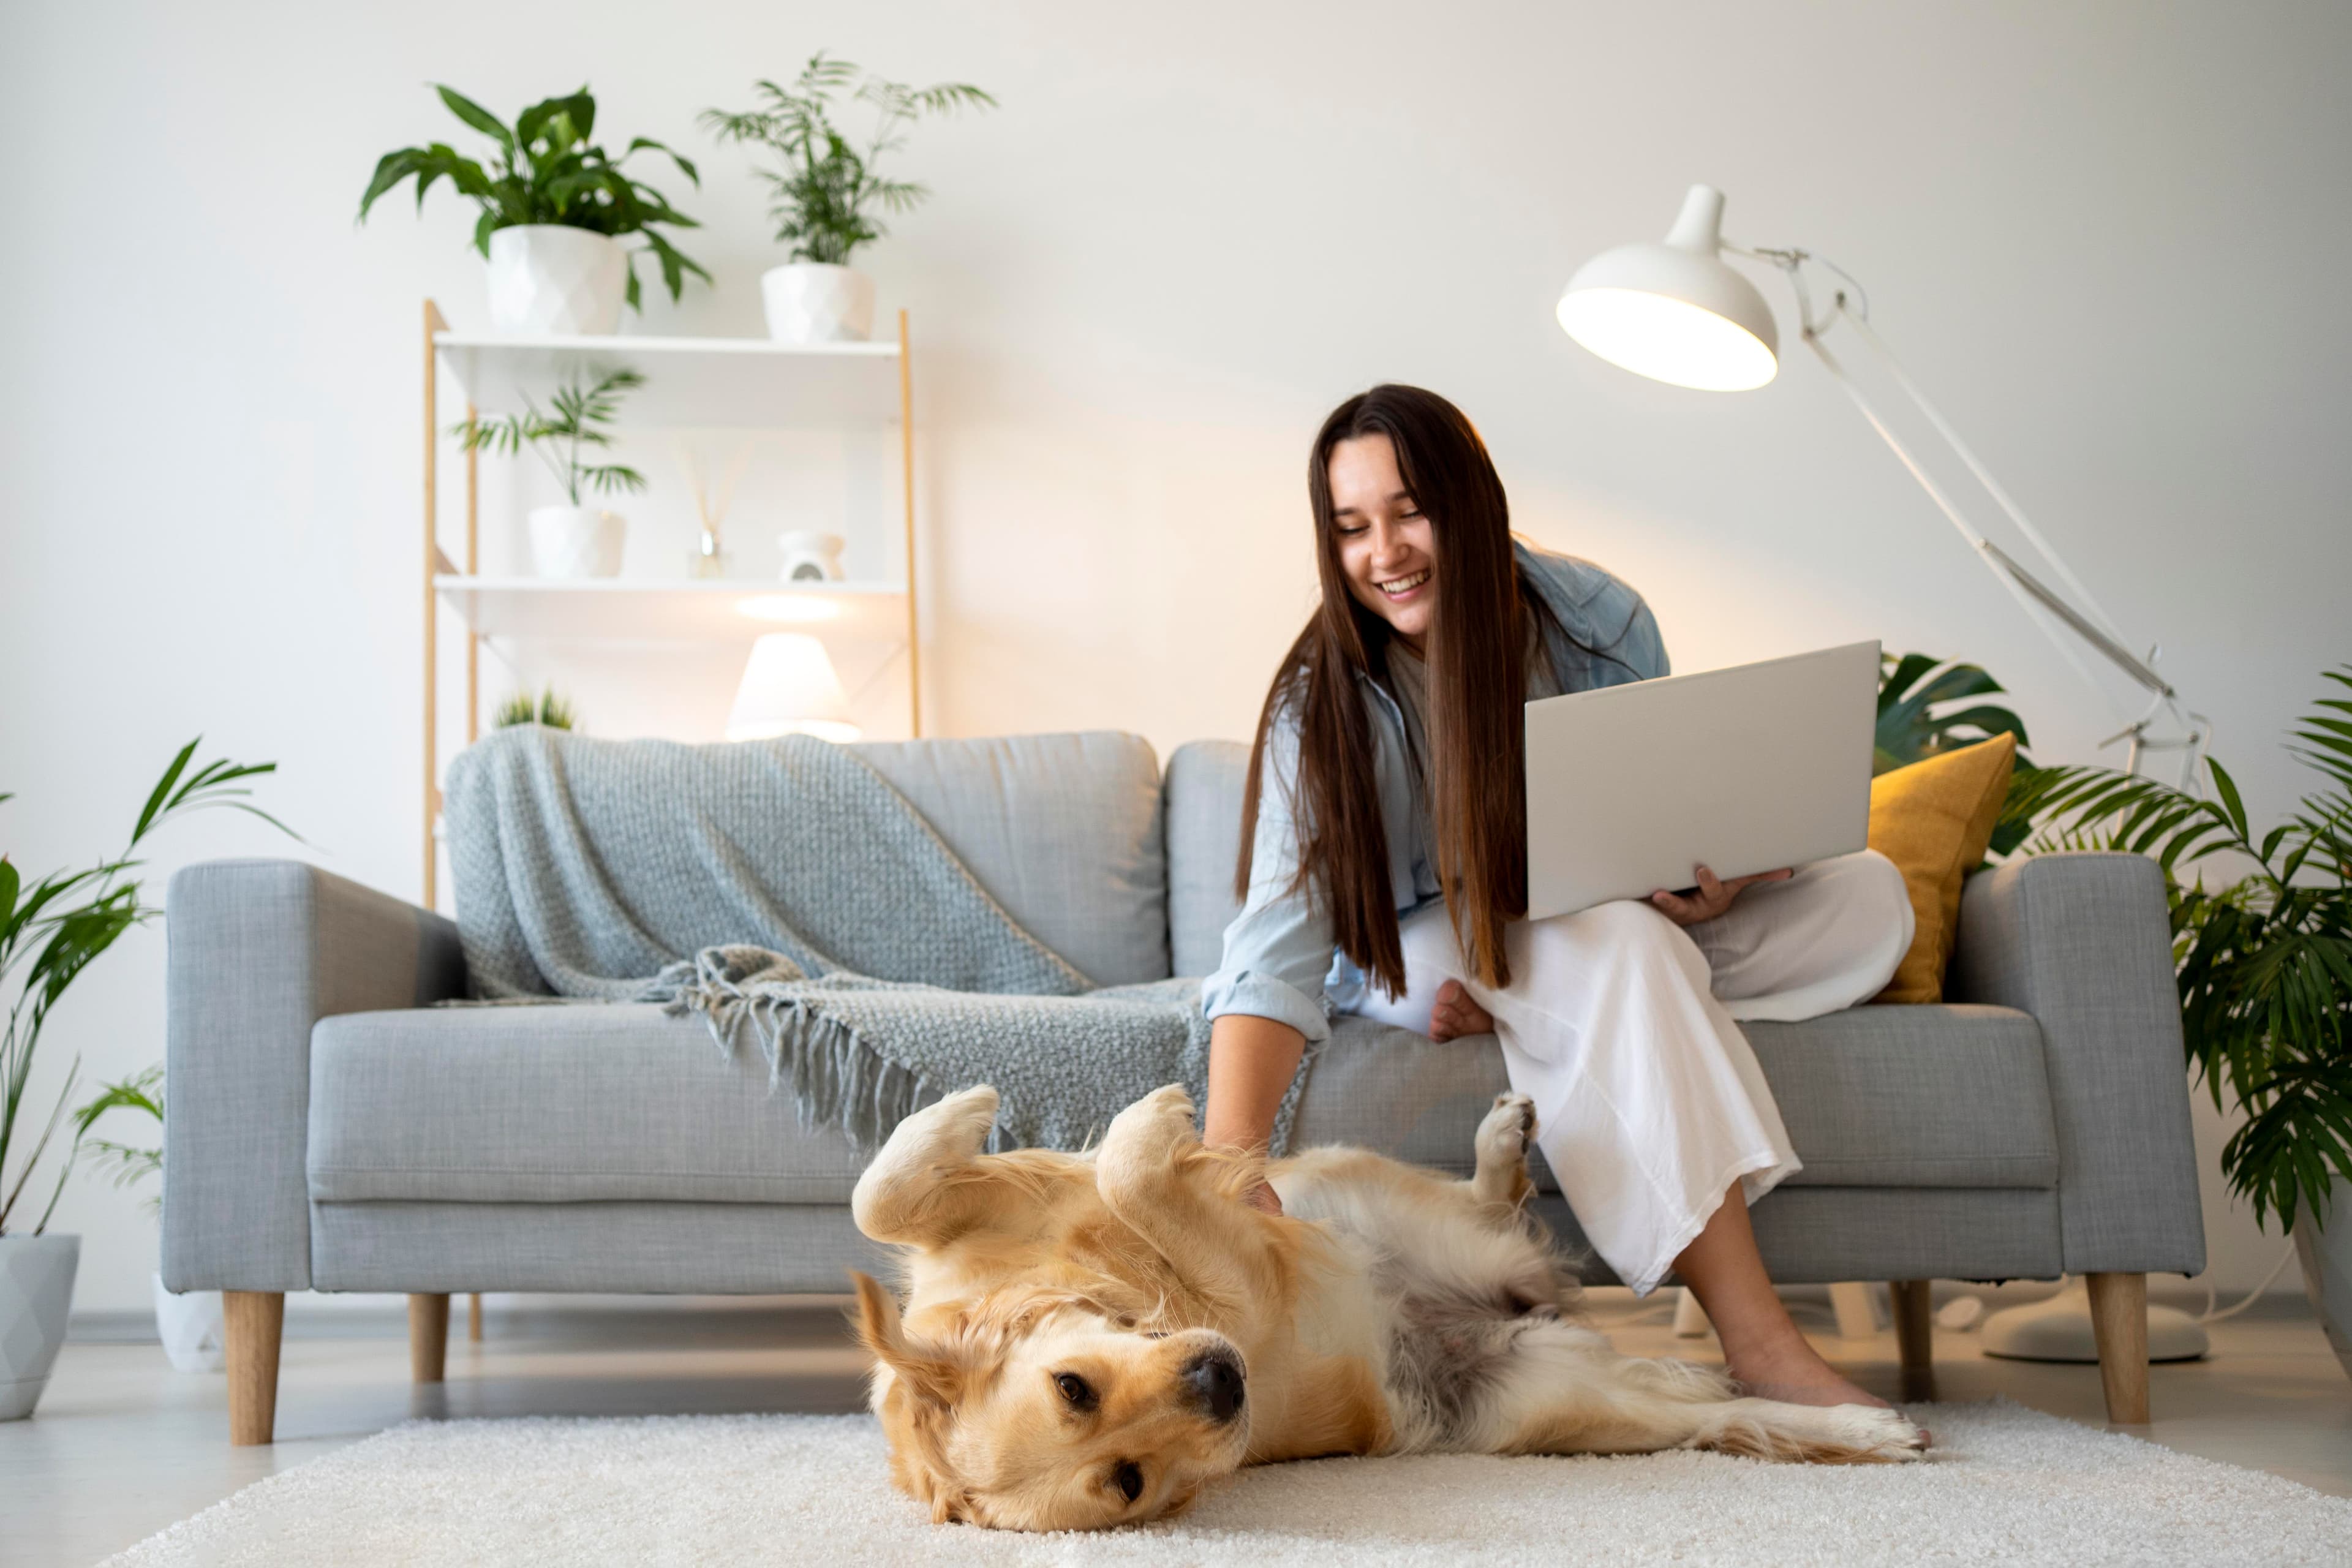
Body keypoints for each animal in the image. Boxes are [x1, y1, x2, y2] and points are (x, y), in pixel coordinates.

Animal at [856, 1086, 1919, 1523]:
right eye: (1128, 1482)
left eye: (1071, 1386)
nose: (1221, 1384)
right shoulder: (1236, 1296)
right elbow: (1128, 1171)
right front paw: (1150, 1124)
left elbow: (882, 1192)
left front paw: (961, 1110)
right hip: (1559, 1398)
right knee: (1720, 1417)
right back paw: (1866, 1429)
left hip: (1357, 1190)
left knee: (1490, 1211)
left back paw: (1503, 1141)